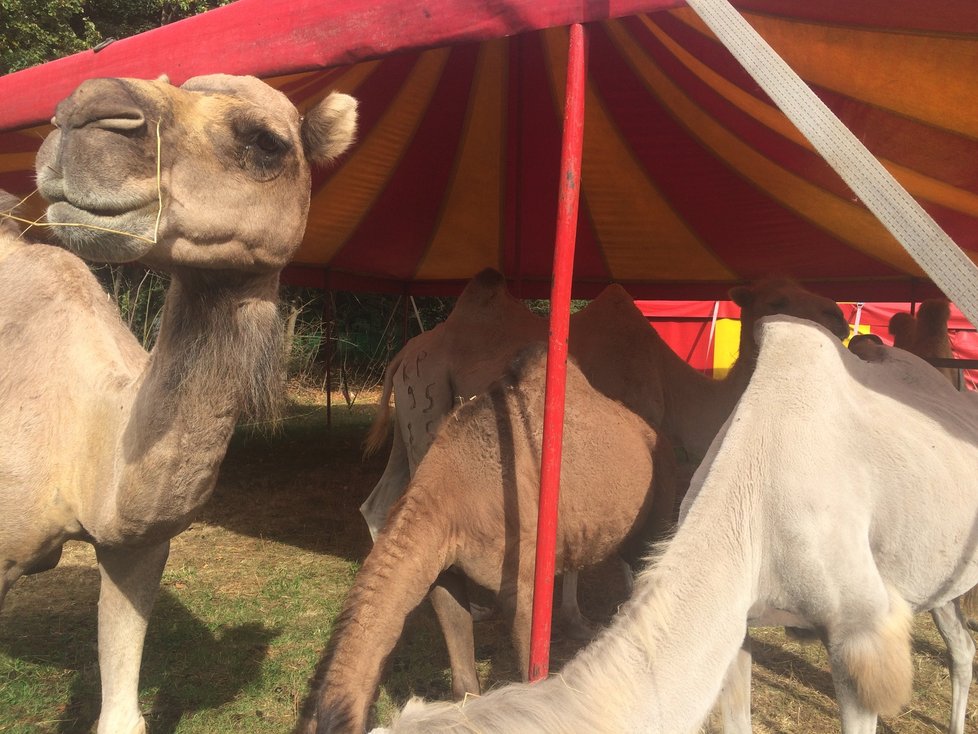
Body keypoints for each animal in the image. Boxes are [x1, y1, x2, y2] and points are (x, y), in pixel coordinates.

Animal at [298, 346, 680, 734]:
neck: (453, 492)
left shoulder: (520, 580)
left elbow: (529, 671)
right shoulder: (442, 570)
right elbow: (463, 679)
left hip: (659, 499)